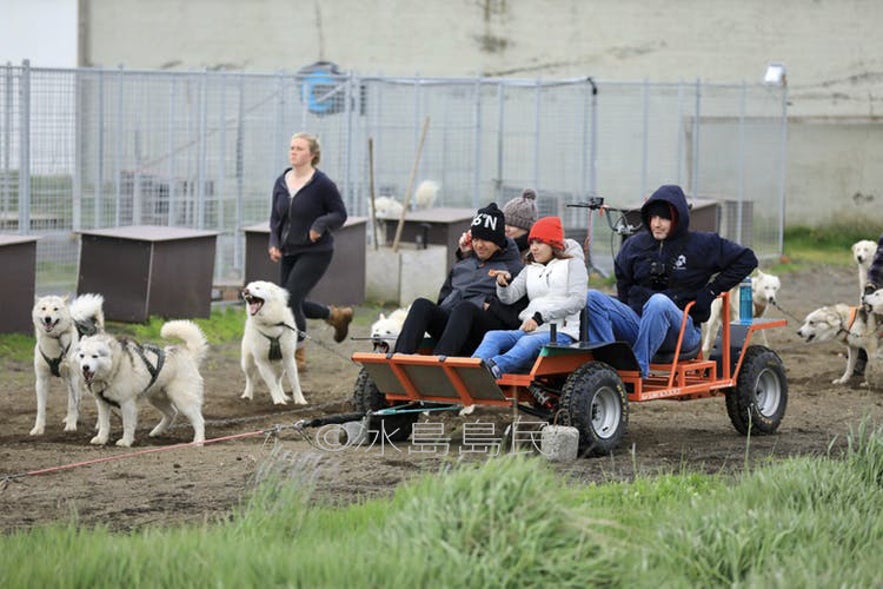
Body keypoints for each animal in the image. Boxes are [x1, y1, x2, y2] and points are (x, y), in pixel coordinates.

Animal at [30, 292, 106, 434]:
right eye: (43, 308)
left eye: (55, 309)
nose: (48, 319)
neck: (55, 342)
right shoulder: (42, 380)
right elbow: (41, 408)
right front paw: (38, 428)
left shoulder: (73, 377)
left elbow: (71, 405)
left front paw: (71, 426)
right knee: (78, 398)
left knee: (98, 402)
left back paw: (99, 424)